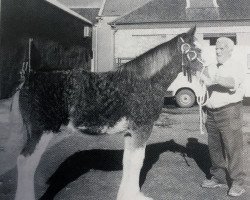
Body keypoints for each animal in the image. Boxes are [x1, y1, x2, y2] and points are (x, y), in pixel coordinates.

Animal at [13, 27, 203, 200]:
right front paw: (135, 195)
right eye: (197, 50)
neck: (144, 82)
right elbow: (138, 161)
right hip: (41, 131)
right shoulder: (142, 128)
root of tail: (28, 80)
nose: (207, 69)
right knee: (25, 162)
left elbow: (129, 161)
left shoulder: (130, 132)